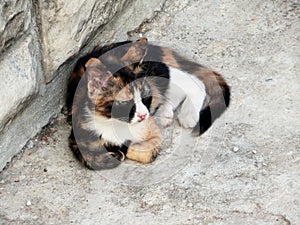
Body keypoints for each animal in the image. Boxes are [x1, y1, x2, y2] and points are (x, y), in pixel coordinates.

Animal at [67, 37, 230, 170]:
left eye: (145, 97)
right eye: (125, 102)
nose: (143, 115)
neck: (115, 124)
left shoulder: (153, 135)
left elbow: (146, 153)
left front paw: (122, 151)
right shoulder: (77, 133)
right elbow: (91, 159)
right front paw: (114, 153)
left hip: (161, 72)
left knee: (194, 82)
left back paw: (187, 114)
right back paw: (163, 114)